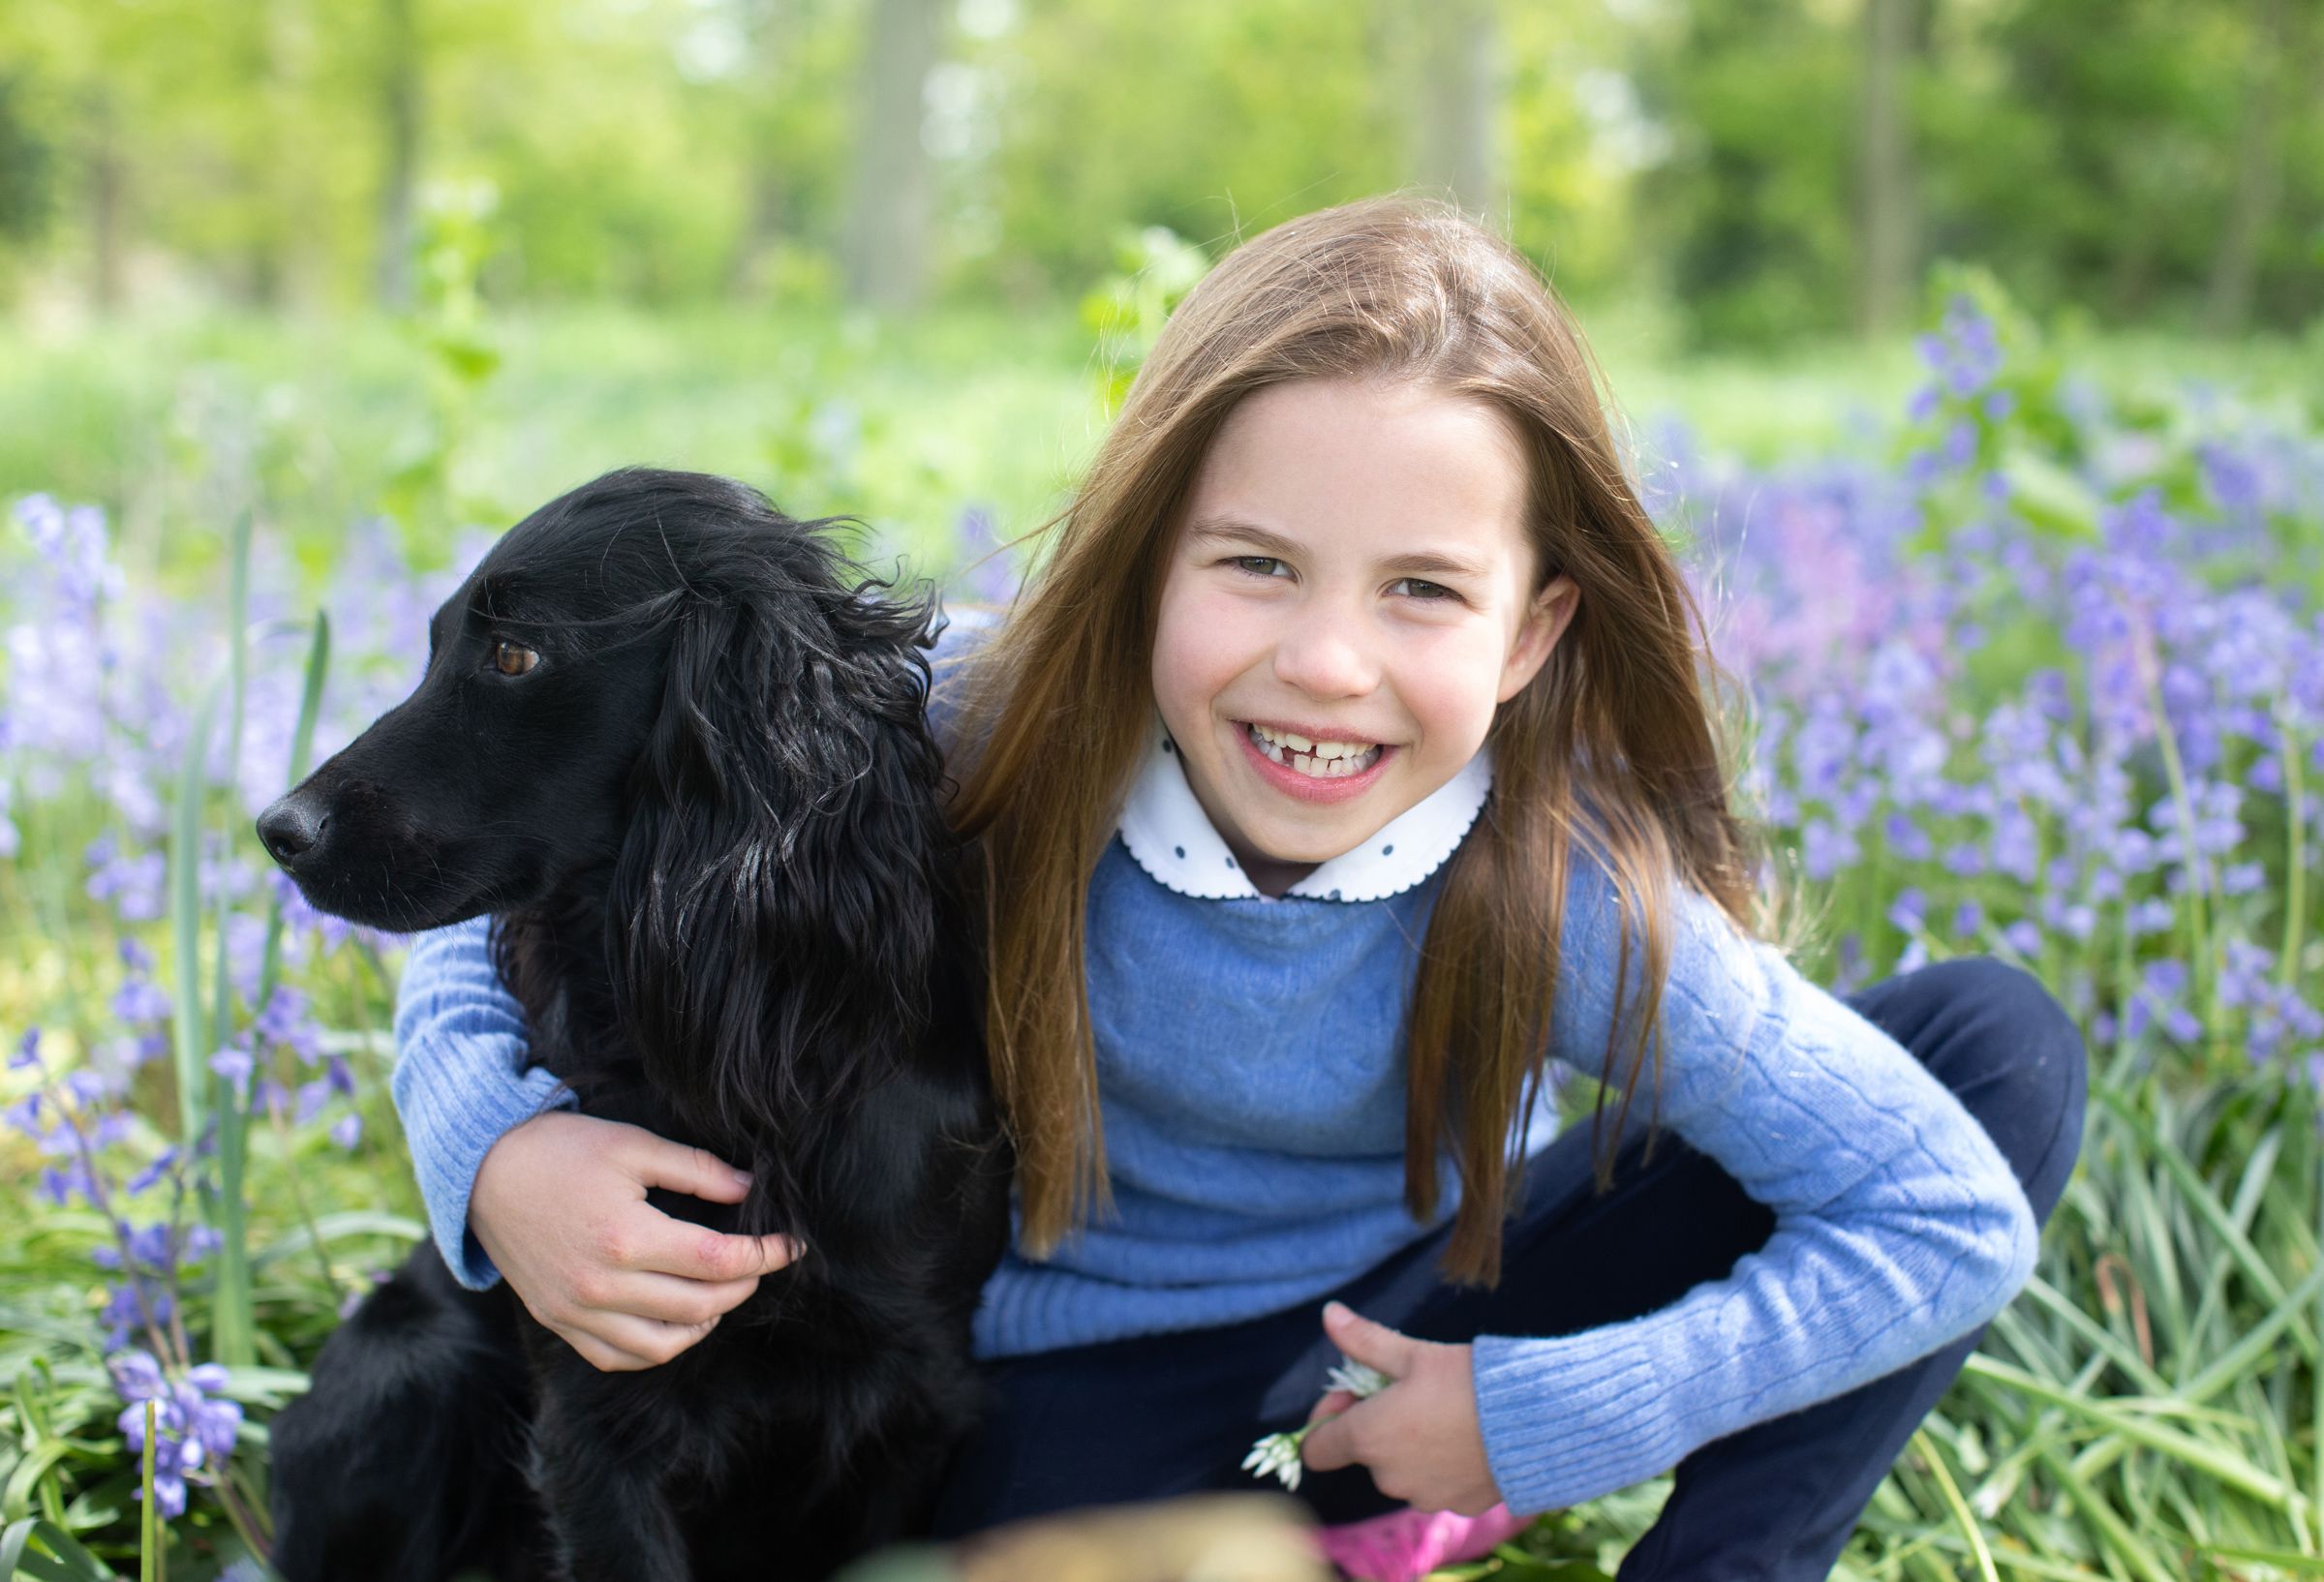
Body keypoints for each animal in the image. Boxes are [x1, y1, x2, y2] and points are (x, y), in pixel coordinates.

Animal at [259, 469, 1013, 1579]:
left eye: (514, 654)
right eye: (435, 641)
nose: (278, 828)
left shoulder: (919, 1397)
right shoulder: (599, 1407)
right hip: (409, 1366)